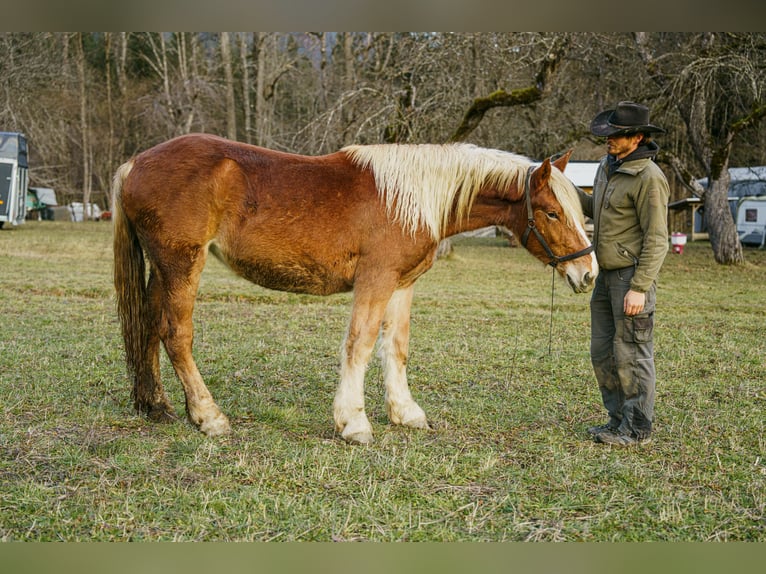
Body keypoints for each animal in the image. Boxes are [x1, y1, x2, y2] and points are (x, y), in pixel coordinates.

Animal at [112, 134, 600, 446]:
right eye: (552, 212)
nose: (589, 274)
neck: (410, 198)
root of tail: (135, 163)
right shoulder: (375, 280)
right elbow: (360, 345)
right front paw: (353, 423)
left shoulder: (401, 285)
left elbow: (395, 347)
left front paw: (405, 413)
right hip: (182, 265)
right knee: (176, 334)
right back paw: (209, 417)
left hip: (162, 269)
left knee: (150, 328)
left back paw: (156, 405)